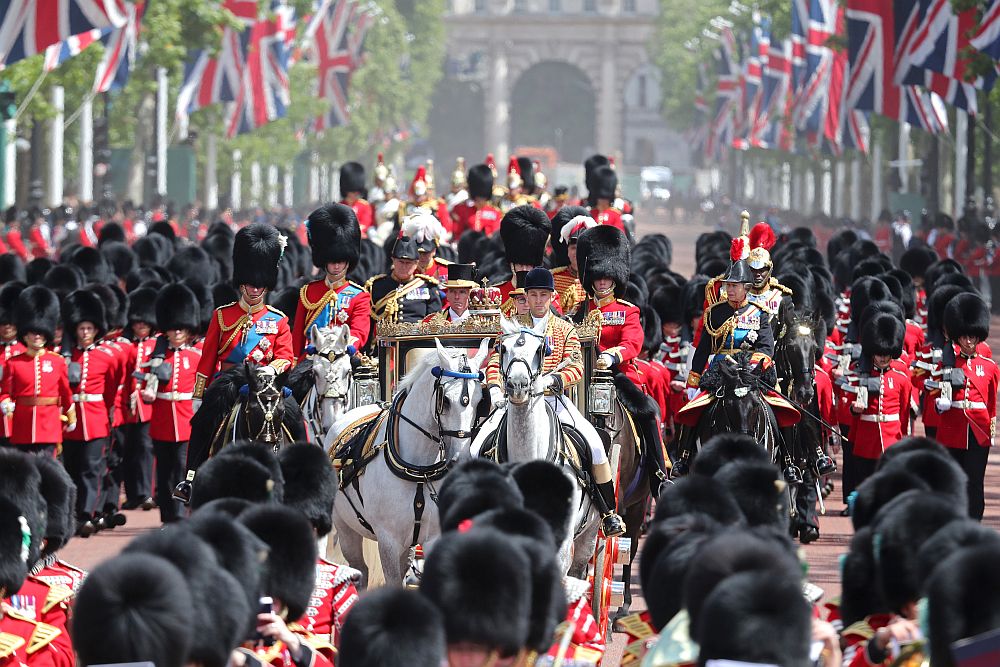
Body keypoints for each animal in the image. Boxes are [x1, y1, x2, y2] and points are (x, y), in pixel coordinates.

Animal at [328, 340, 488, 584]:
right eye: (445, 400)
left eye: (480, 401)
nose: (460, 459)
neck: (419, 471)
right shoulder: (388, 541)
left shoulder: (432, 537)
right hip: (346, 527)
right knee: (360, 569)